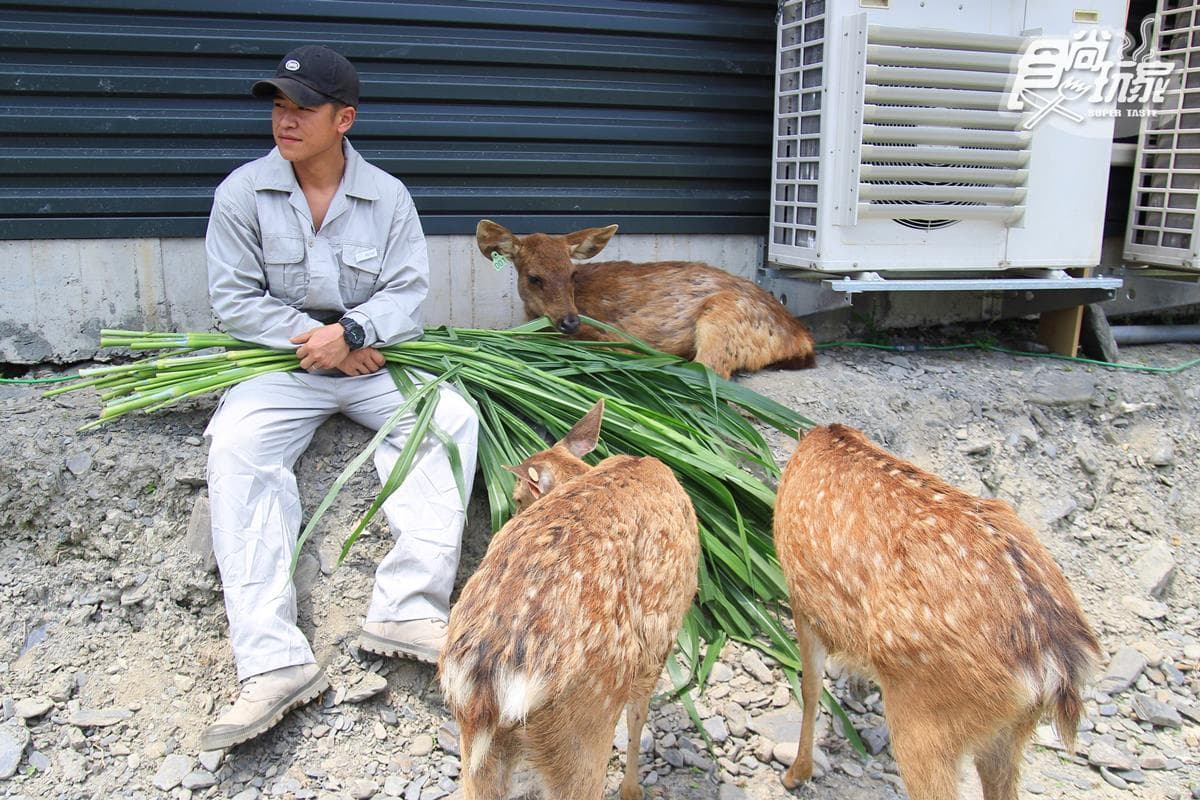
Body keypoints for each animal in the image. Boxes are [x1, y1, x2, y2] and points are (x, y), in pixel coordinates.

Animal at [438, 399, 699, 800]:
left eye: (518, 497)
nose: (512, 513)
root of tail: (486, 684)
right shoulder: (659, 642)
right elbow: (638, 717)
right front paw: (633, 790)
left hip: (478, 748)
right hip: (583, 725)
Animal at [476, 219, 817, 379]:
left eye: (572, 273)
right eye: (534, 277)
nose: (570, 321)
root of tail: (799, 336)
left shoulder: (611, 335)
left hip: (724, 318)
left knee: (711, 370)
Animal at [773, 424, 1100, 800]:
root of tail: (1051, 658)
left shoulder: (802, 596)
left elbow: (810, 687)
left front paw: (796, 774)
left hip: (927, 717)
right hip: (1009, 731)